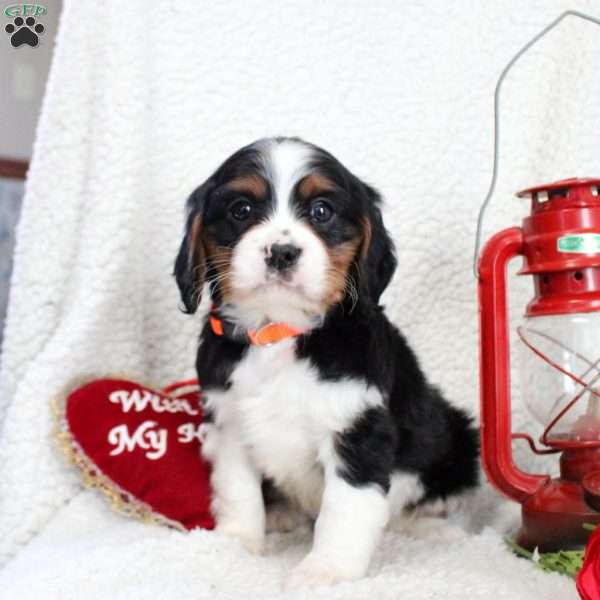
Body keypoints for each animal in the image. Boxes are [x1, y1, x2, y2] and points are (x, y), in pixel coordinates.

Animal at [173, 135, 478, 584]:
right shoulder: (228, 422)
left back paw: (430, 528)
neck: (279, 333)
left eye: (322, 211)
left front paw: (325, 572)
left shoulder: (358, 429)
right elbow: (237, 489)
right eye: (240, 210)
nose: (282, 252)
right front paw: (236, 543)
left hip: (457, 436)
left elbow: (345, 510)